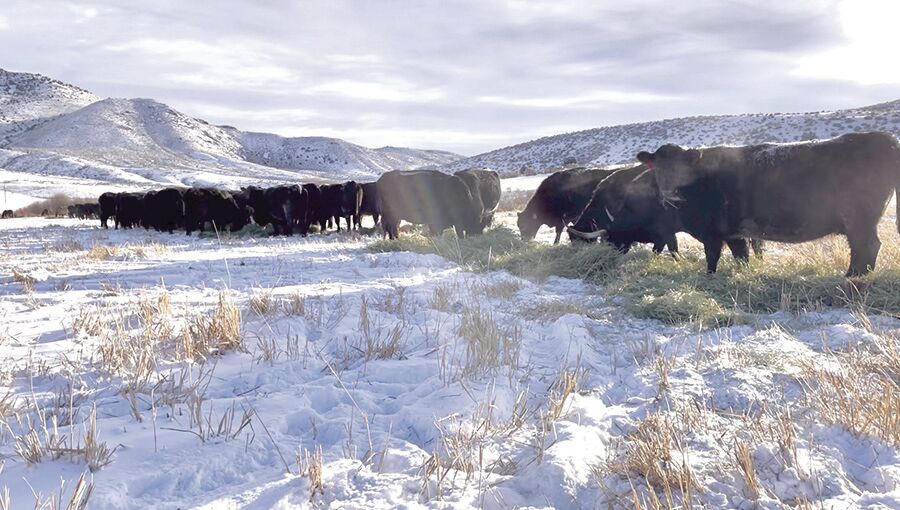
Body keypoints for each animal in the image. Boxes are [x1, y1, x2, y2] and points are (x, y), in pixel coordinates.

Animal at [636, 132, 900, 276]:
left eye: (682, 169)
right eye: (658, 168)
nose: (669, 194)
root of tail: (886, 138)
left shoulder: (713, 232)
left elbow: (712, 258)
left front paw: (709, 277)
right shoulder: (735, 233)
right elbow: (741, 256)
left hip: (859, 218)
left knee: (866, 247)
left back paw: (852, 278)